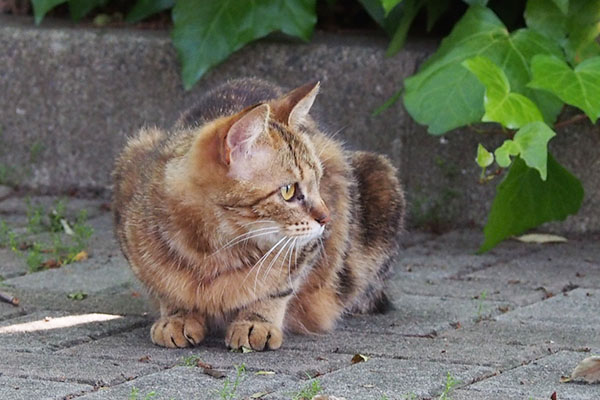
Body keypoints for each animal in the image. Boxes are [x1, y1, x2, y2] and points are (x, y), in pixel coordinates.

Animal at [112, 78, 404, 350]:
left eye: (319, 182)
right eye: (288, 191)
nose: (326, 218)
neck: (212, 251)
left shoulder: (310, 246)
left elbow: (277, 287)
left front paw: (256, 321)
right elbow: (164, 286)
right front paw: (178, 315)